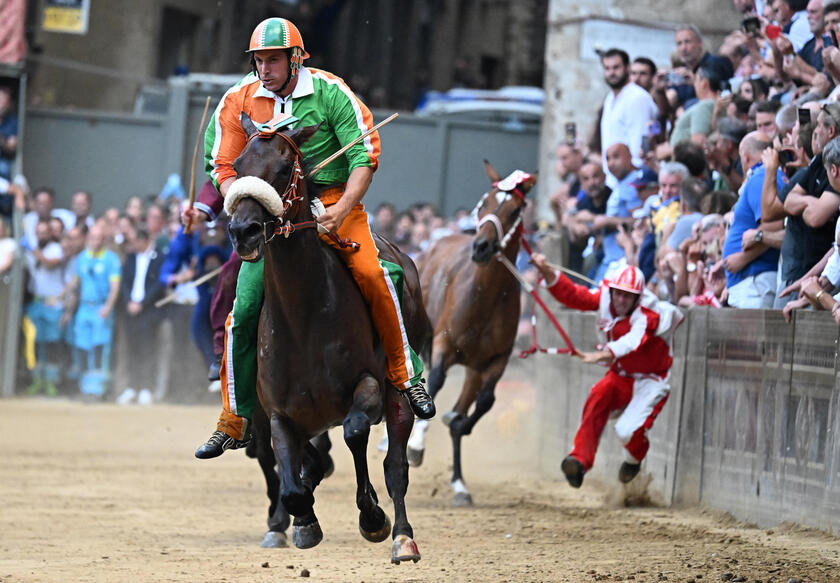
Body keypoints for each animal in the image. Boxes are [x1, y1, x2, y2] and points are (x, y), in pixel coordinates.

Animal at [223, 115, 430, 564]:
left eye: (285, 167)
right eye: (239, 164)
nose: (243, 230)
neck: (304, 319)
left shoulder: (366, 385)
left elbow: (354, 433)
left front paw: (372, 516)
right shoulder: (278, 412)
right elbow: (293, 482)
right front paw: (301, 522)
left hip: (398, 391)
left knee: (396, 465)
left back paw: (402, 536)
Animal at [408, 163, 540, 506]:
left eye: (515, 209)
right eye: (483, 204)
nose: (480, 247)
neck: (484, 296)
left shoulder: (496, 359)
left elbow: (486, 400)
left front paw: (455, 421)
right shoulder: (445, 342)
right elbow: (435, 380)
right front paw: (415, 445)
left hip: (473, 367)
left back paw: (459, 484)